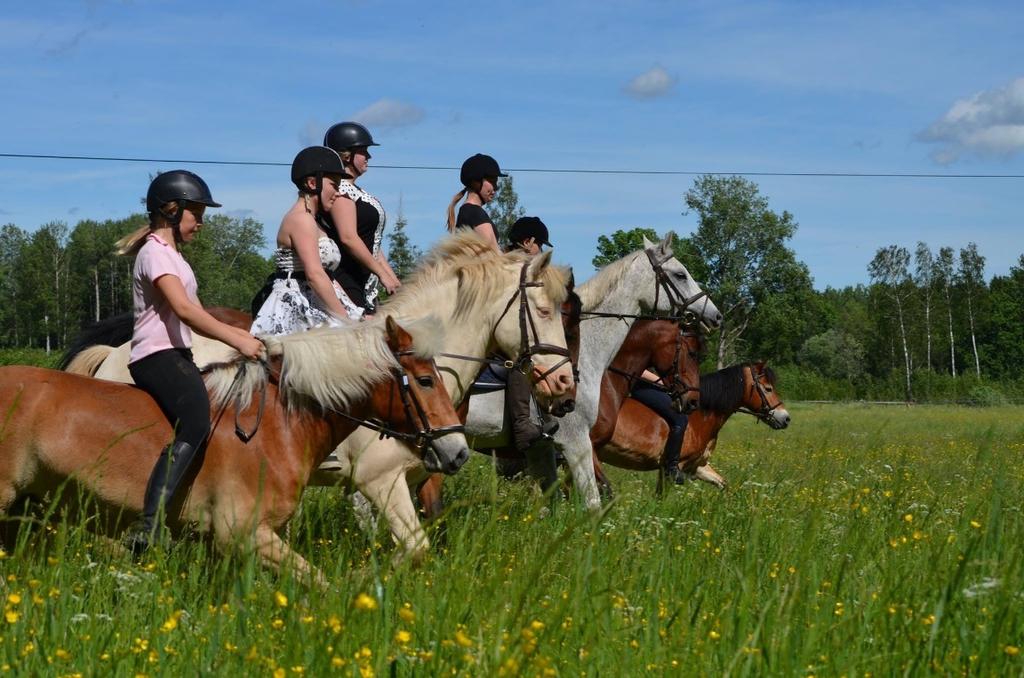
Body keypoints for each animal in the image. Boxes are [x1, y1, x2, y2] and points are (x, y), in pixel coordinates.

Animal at [593, 364, 790, 491]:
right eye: (768, 388)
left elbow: (723, 484)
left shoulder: (697, 466)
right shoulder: (673, 467)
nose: (786, 418)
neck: (699, 417)